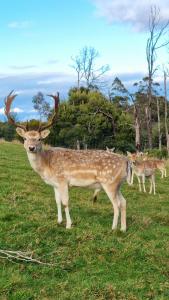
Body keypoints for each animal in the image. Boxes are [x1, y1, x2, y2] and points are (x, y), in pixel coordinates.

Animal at [3, 90, 131, 231]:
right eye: (25, 138)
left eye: (39, 139)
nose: (32, 147)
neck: (47, 165)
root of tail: (127, 162)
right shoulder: (55, 184)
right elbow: (57, 201)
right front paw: (59, 221)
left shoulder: (63, 180)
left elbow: (65, 202)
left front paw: (69, 225)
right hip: (118, 184)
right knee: (124, 201)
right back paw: (123, 228)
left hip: (109, 183)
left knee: (116, 204)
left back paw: (113, 228)